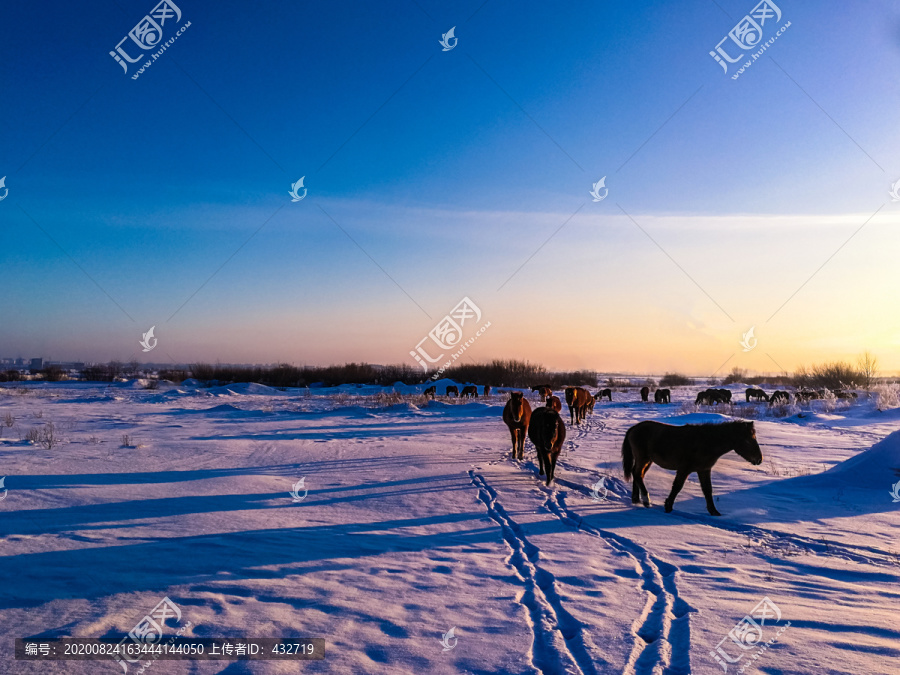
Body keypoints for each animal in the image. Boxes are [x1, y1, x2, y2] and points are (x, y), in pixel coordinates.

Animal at [624, 420, 764, 516]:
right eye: (747, 441)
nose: (759, 459)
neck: (705, 442)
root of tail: (634, 428)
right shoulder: (684, 469)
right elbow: (677, 487)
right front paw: (668, 506)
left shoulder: (704, 470)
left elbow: (707, 490)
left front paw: (714, 511)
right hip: (643, 459)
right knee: (637, 474)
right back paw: (646, 500)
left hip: (648, 461)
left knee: (637, 475)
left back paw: (636, 499)